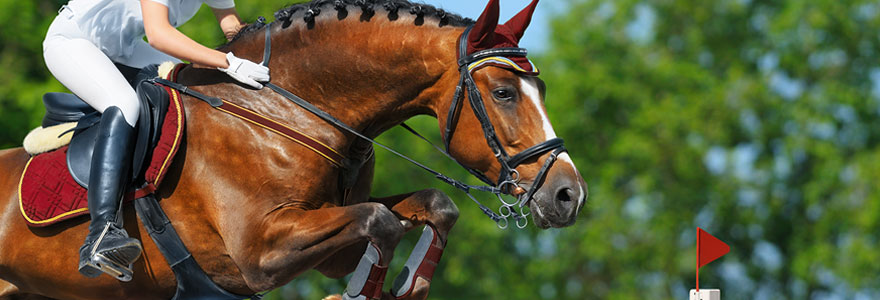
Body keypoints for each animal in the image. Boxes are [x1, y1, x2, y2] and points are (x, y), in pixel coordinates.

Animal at [3, 1, 588, 298]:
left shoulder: (325, 239)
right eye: (505, 92)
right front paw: (360, 294)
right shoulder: (259, 254)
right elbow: (382, 221)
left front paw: (401, 285)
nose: (570, 196)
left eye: (540, 89)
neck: (287, 110)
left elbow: (428, 208)